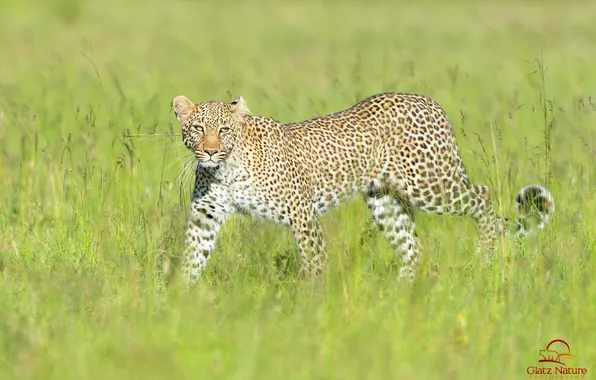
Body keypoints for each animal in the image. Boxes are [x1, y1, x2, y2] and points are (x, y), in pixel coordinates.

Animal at [171, 93, 556, 284]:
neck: (226, 169)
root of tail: (427, 101)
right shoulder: (205, 217)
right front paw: (179, 302)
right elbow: (191, 257)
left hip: (429, 183)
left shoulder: (302, 215)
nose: (209, 150)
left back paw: (486, 258)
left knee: (483, 198)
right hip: (385, 201)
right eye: (198, 127)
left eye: (223, 129)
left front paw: (312, 304)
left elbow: (315, 261)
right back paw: (401, 292)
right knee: (412, 247)